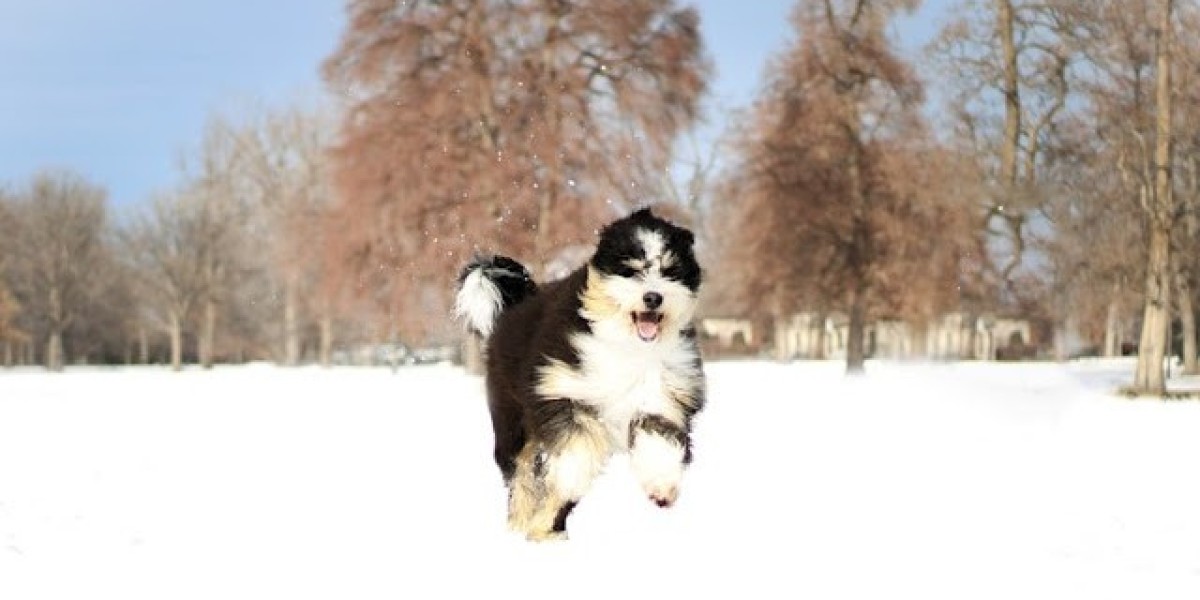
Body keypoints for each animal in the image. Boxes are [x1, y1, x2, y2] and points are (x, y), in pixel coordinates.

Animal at [453, 208, 705, 542]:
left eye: (670, 271)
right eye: (630, 270)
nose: (653, 297)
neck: (625, 344)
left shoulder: (661, 398)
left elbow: (659, 441)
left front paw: (661, 485)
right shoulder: (563, 391)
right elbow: (576, 450)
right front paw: (567, 478)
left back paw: (547, 529)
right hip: (512, 421)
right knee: (520, 474)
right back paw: (523, 525)